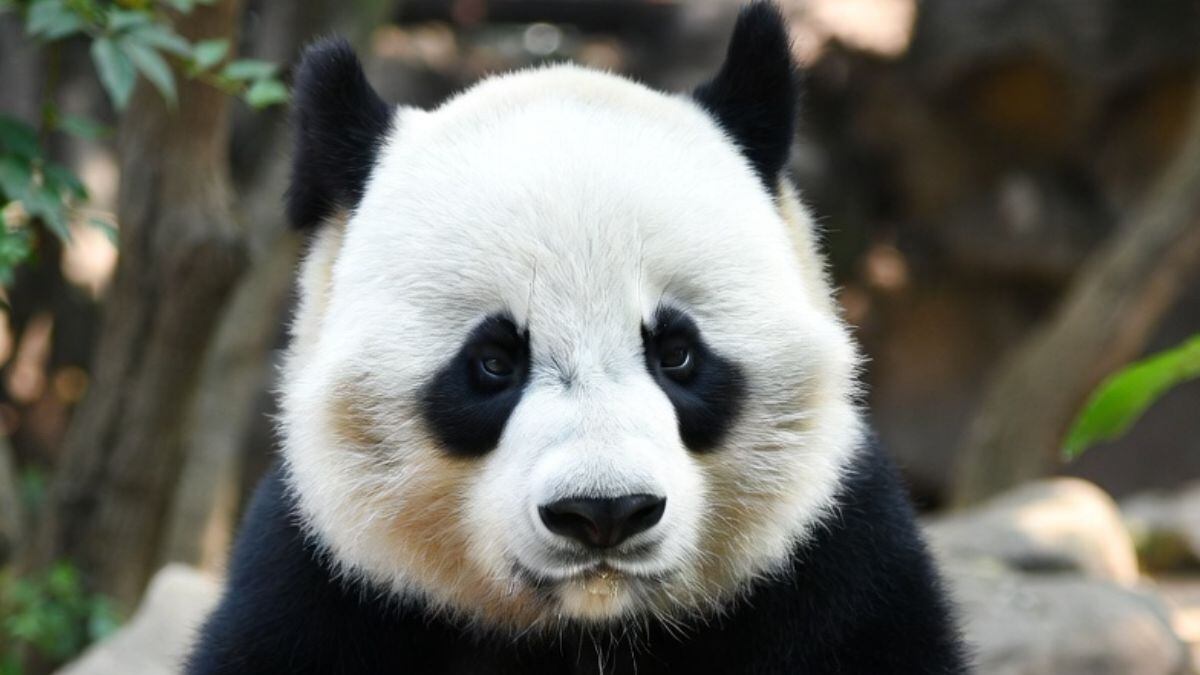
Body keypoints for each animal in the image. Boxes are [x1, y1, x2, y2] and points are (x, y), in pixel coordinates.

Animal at [188, 3, 967, 673]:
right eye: (493, 362)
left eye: (677, 353)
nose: (603, 513)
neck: (589, 630)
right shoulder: (324, 581)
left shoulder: (834, 565)